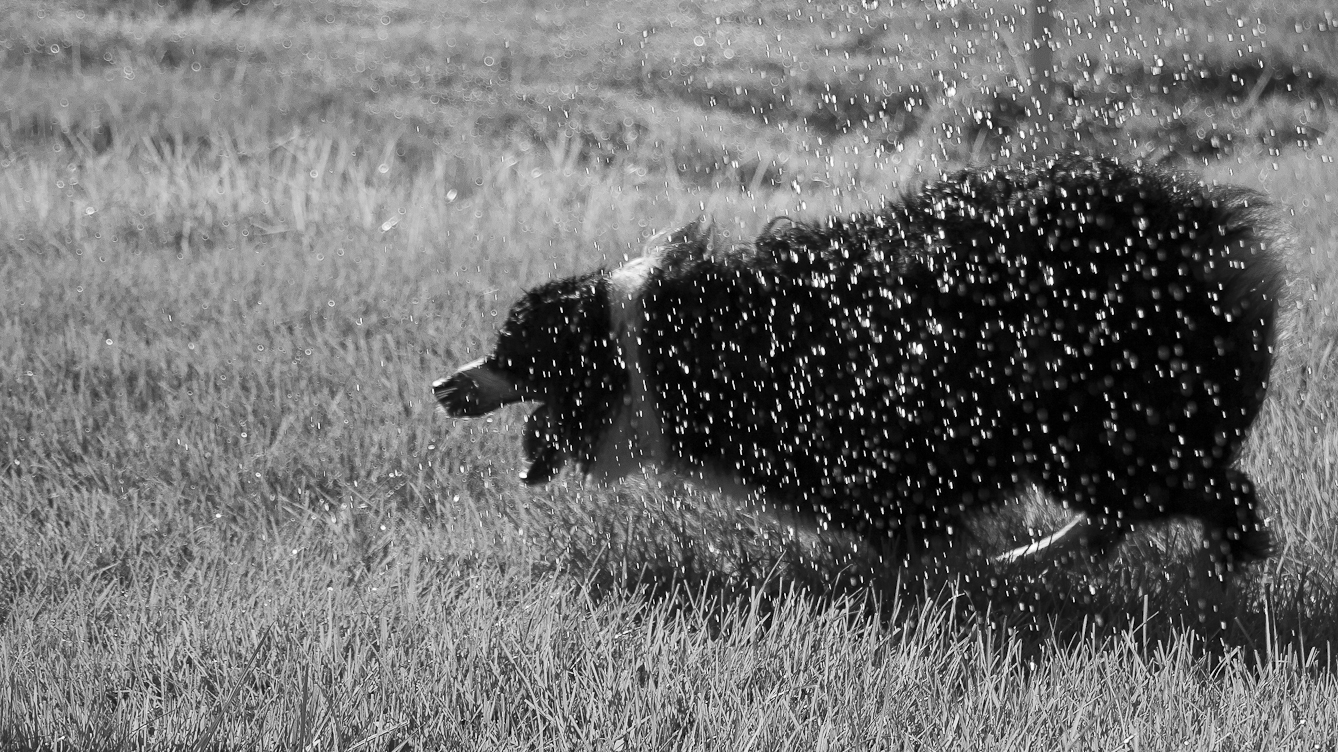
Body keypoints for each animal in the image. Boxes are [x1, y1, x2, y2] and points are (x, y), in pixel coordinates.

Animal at [435, 155, 1284, 567]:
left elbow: (909, 524)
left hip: (1097, 419)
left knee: (1212, 496)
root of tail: (1221, 231)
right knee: (1129, 511)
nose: (443, 387)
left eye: (512, 351)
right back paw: (1043, 558)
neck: (647, 346)